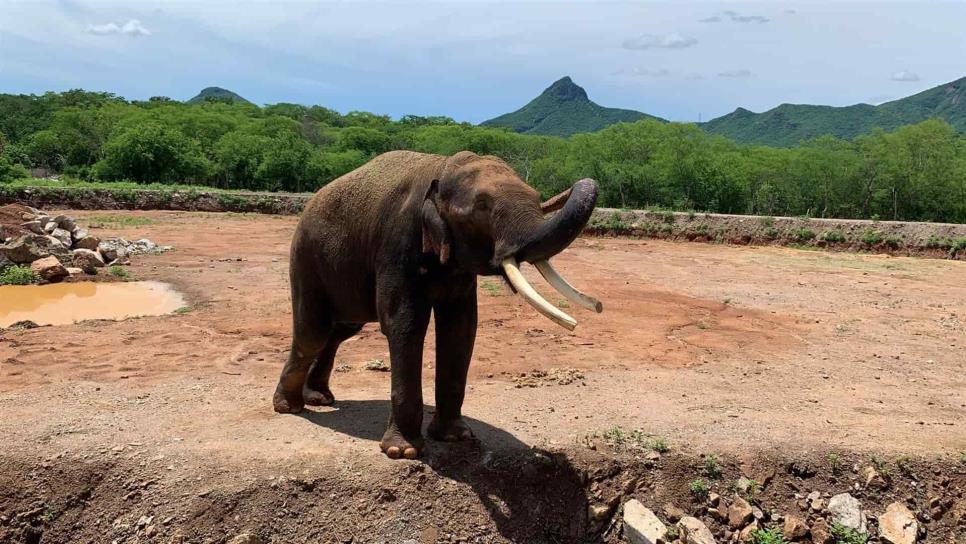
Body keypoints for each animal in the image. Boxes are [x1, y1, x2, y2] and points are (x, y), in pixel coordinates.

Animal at [274, 150, 604, 460]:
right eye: (482, 205)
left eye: (537, 197)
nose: (598, 306)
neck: (442, 168)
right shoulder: (398, 243)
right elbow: (405, 324)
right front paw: (402, 452)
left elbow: (461, 327)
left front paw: (454, 438)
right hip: (306, 260)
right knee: (313, 332)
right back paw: (289, 407)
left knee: (340, 330)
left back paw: (319, 398)